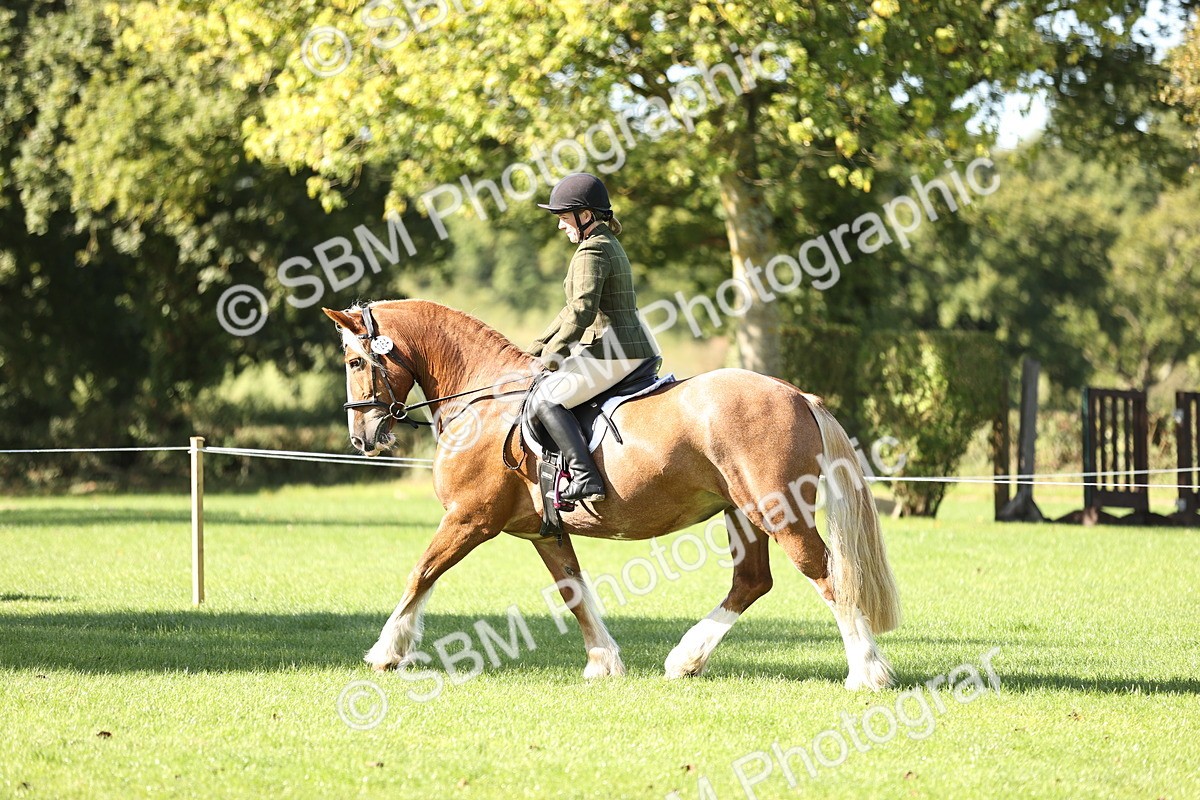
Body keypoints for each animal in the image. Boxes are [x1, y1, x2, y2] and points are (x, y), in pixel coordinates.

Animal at [323, 299, 901, 690]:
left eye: (355, 363)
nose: (362, 438)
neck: (484, 400)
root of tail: (796, 394)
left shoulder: (469, 518)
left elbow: (420, 573)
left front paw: (386, 652)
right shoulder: (542, 532)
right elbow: (574, 591)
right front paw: (604, 661)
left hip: (778, 510)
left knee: (828, 574)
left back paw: (866, 672)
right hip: (741, 512)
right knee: (753, 581)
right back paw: (685, 660)